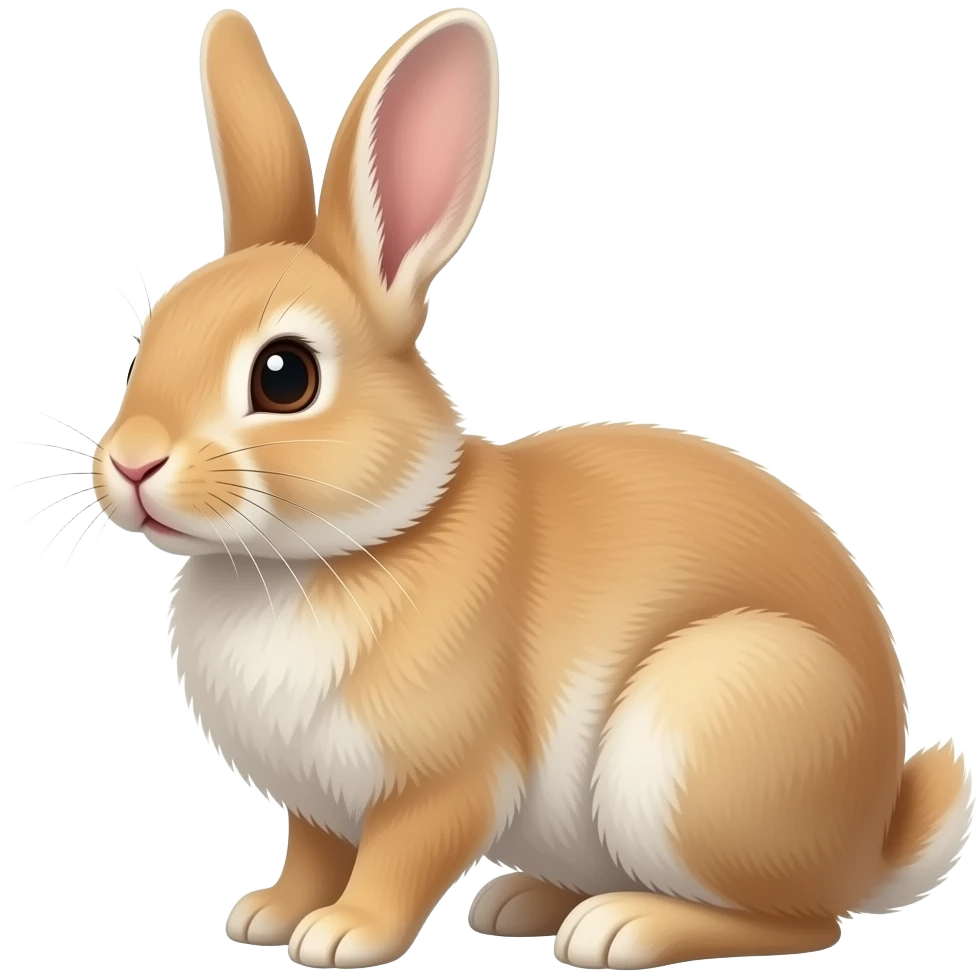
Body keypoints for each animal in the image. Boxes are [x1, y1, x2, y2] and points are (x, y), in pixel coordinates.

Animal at [90, 7, 974, 972]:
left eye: (284, 376)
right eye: (148, 338)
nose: (130, 464)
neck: (330, 552)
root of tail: (869, 844)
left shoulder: (446, 778)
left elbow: (401, 857)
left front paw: (342, 935)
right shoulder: (313, 798)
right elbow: (312, 850)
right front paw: (267, 915)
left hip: (700, 732)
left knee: (802, 921)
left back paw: (620, 927)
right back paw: (525, 901)